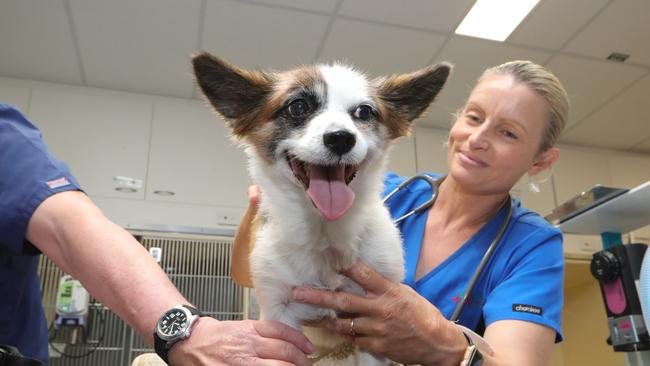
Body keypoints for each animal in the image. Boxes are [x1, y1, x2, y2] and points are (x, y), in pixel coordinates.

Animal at [190, 52, 448, 366]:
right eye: (298, 106)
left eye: (364, 112)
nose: (341, 138)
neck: (325, 232)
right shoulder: (279, 314)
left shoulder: (376, 316)